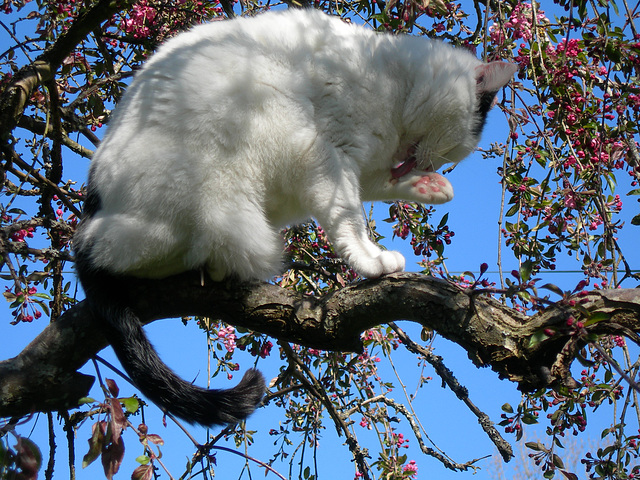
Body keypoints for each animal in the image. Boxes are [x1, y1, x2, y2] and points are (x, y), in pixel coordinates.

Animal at [72, 8, 516, 428]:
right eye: (453, 147)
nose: (425, 166)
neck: (393, 80)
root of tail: (89, 218)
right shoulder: (329, 156)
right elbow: (348, 216)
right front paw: (372, 259)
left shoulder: (365, 166)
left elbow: (378, 185)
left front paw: (433, 188)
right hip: (224, 184)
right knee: (121, 254)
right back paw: (208, 266)